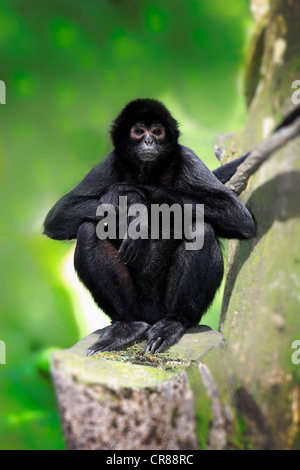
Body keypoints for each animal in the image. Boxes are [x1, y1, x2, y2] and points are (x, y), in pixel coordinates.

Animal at [44, 100, 296, 356]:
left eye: (157, 131)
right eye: (138, 131)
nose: (149, 141)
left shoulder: (187, 157)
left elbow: (239, 216)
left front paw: (136, 197)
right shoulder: (110, 162)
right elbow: (59, 217)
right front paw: (132, 206)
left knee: (201, 229)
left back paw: (173, 323)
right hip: (136, 305)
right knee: (89, 229)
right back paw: (126, 327)